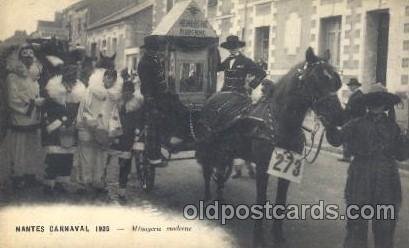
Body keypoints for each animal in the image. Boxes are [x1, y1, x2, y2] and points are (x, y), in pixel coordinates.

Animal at [194, 47, 344, 247]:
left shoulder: (286, 170)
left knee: (219, 171)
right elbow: (261, 200)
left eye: (335, 80)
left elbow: (280, 202)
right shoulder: (262, 167)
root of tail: (216, 97)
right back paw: (207, 199)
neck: (281, 122)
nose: (339, 116)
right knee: (207, 171)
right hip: (208, 146)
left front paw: (278, 235)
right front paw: (258, 237)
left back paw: (220, 198)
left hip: (225, 149)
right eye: (315, 79)